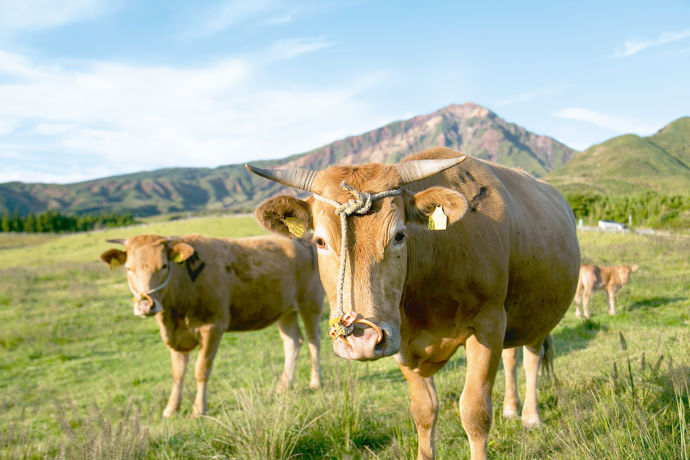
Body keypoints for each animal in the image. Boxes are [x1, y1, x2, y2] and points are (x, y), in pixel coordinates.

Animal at [99, 234, 322, 416]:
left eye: (163, 266)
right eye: (129, 268)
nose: (146, 305)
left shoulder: (213, 327)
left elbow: (201, 369)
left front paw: (199, 409)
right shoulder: (177, 336)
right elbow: (177, 373)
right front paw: (171, 409)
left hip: (310, 302)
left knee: (314, 340)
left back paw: (315, 382)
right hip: (285, 310)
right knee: (293, 342)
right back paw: (284, 387)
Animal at [245, 148, 576, 460]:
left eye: (400, 235)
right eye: (320, 242)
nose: (362, 340)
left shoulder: (488, 324)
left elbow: (475, 412)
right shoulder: (401, 342)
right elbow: (424, 411)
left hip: (536, 317)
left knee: (531, 358)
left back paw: (530, 416)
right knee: (511, 356)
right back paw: (510, 408)